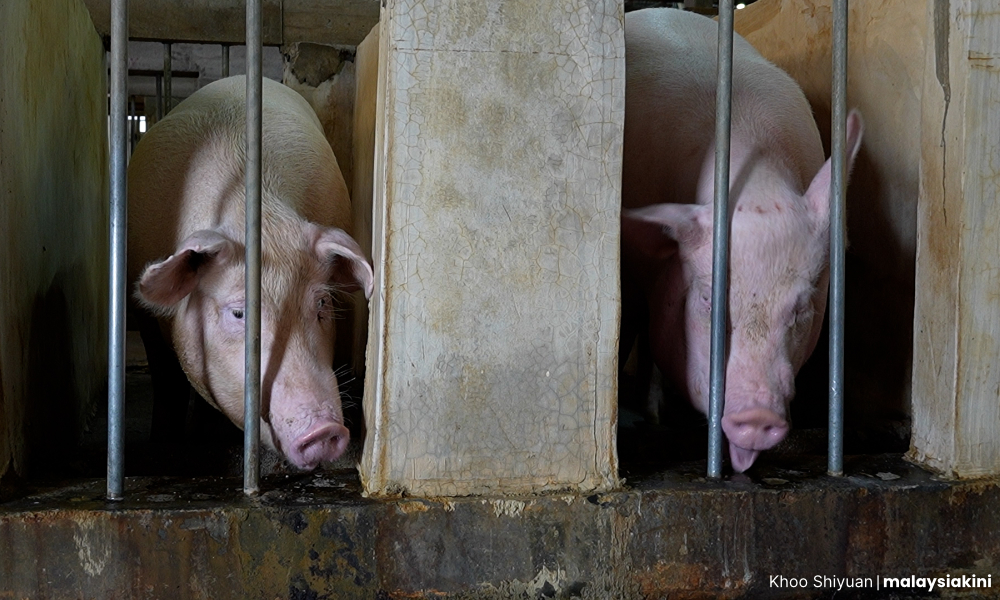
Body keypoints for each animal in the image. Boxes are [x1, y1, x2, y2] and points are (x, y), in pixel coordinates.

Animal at [127, 75, 373, 470]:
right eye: (239, 313)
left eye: (321, 303)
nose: (325, 431)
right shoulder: (145, 317)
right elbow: (167, 382)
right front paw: (163, 446)